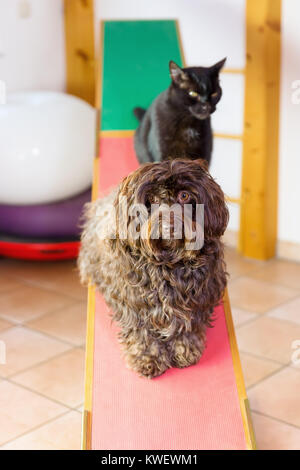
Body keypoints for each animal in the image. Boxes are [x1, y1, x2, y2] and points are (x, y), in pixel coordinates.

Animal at [78, 159, 229, 378]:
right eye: (151, 199)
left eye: (184, 195)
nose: (169, 227)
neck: (170, 265)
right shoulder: (135, 302)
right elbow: (142, 333)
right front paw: (147, 358)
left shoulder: (198, 299)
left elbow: (188, 326)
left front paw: (184, 349)